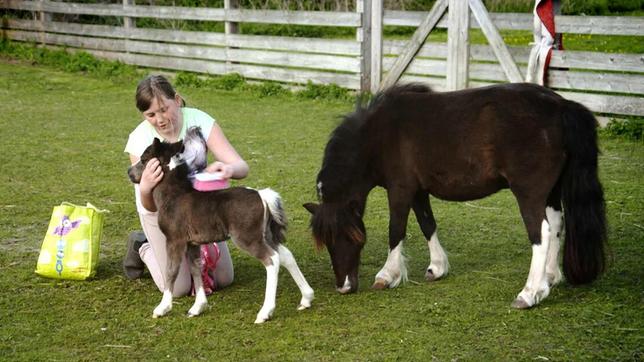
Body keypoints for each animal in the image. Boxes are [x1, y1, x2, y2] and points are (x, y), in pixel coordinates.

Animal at [127, 130, 314, 322]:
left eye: (143, 159)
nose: (129, 173)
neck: (174, 197)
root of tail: (262, 195)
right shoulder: (192, 243)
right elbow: (196, 269)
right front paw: (197, 307)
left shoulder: (174, 240)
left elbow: (171, 271)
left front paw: (162, 308)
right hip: (265, 234)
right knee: (286, 255)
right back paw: (306, 298)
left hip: (247, 238)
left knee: (272, 259)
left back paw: (265, 312)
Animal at [304, 82, 608, 308]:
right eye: (326, 241)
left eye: (349, 236)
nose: (343, 287)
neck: (378, 135)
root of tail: (560, 106)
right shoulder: (418, 191)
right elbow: (427, 224)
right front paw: (437, 267)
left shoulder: (400, 189)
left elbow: (396, 230)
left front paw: (387, 275)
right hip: (552, 193)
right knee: (556, 225)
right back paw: (550, 277)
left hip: (529, 194)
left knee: (541, 233)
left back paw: (530, 292)